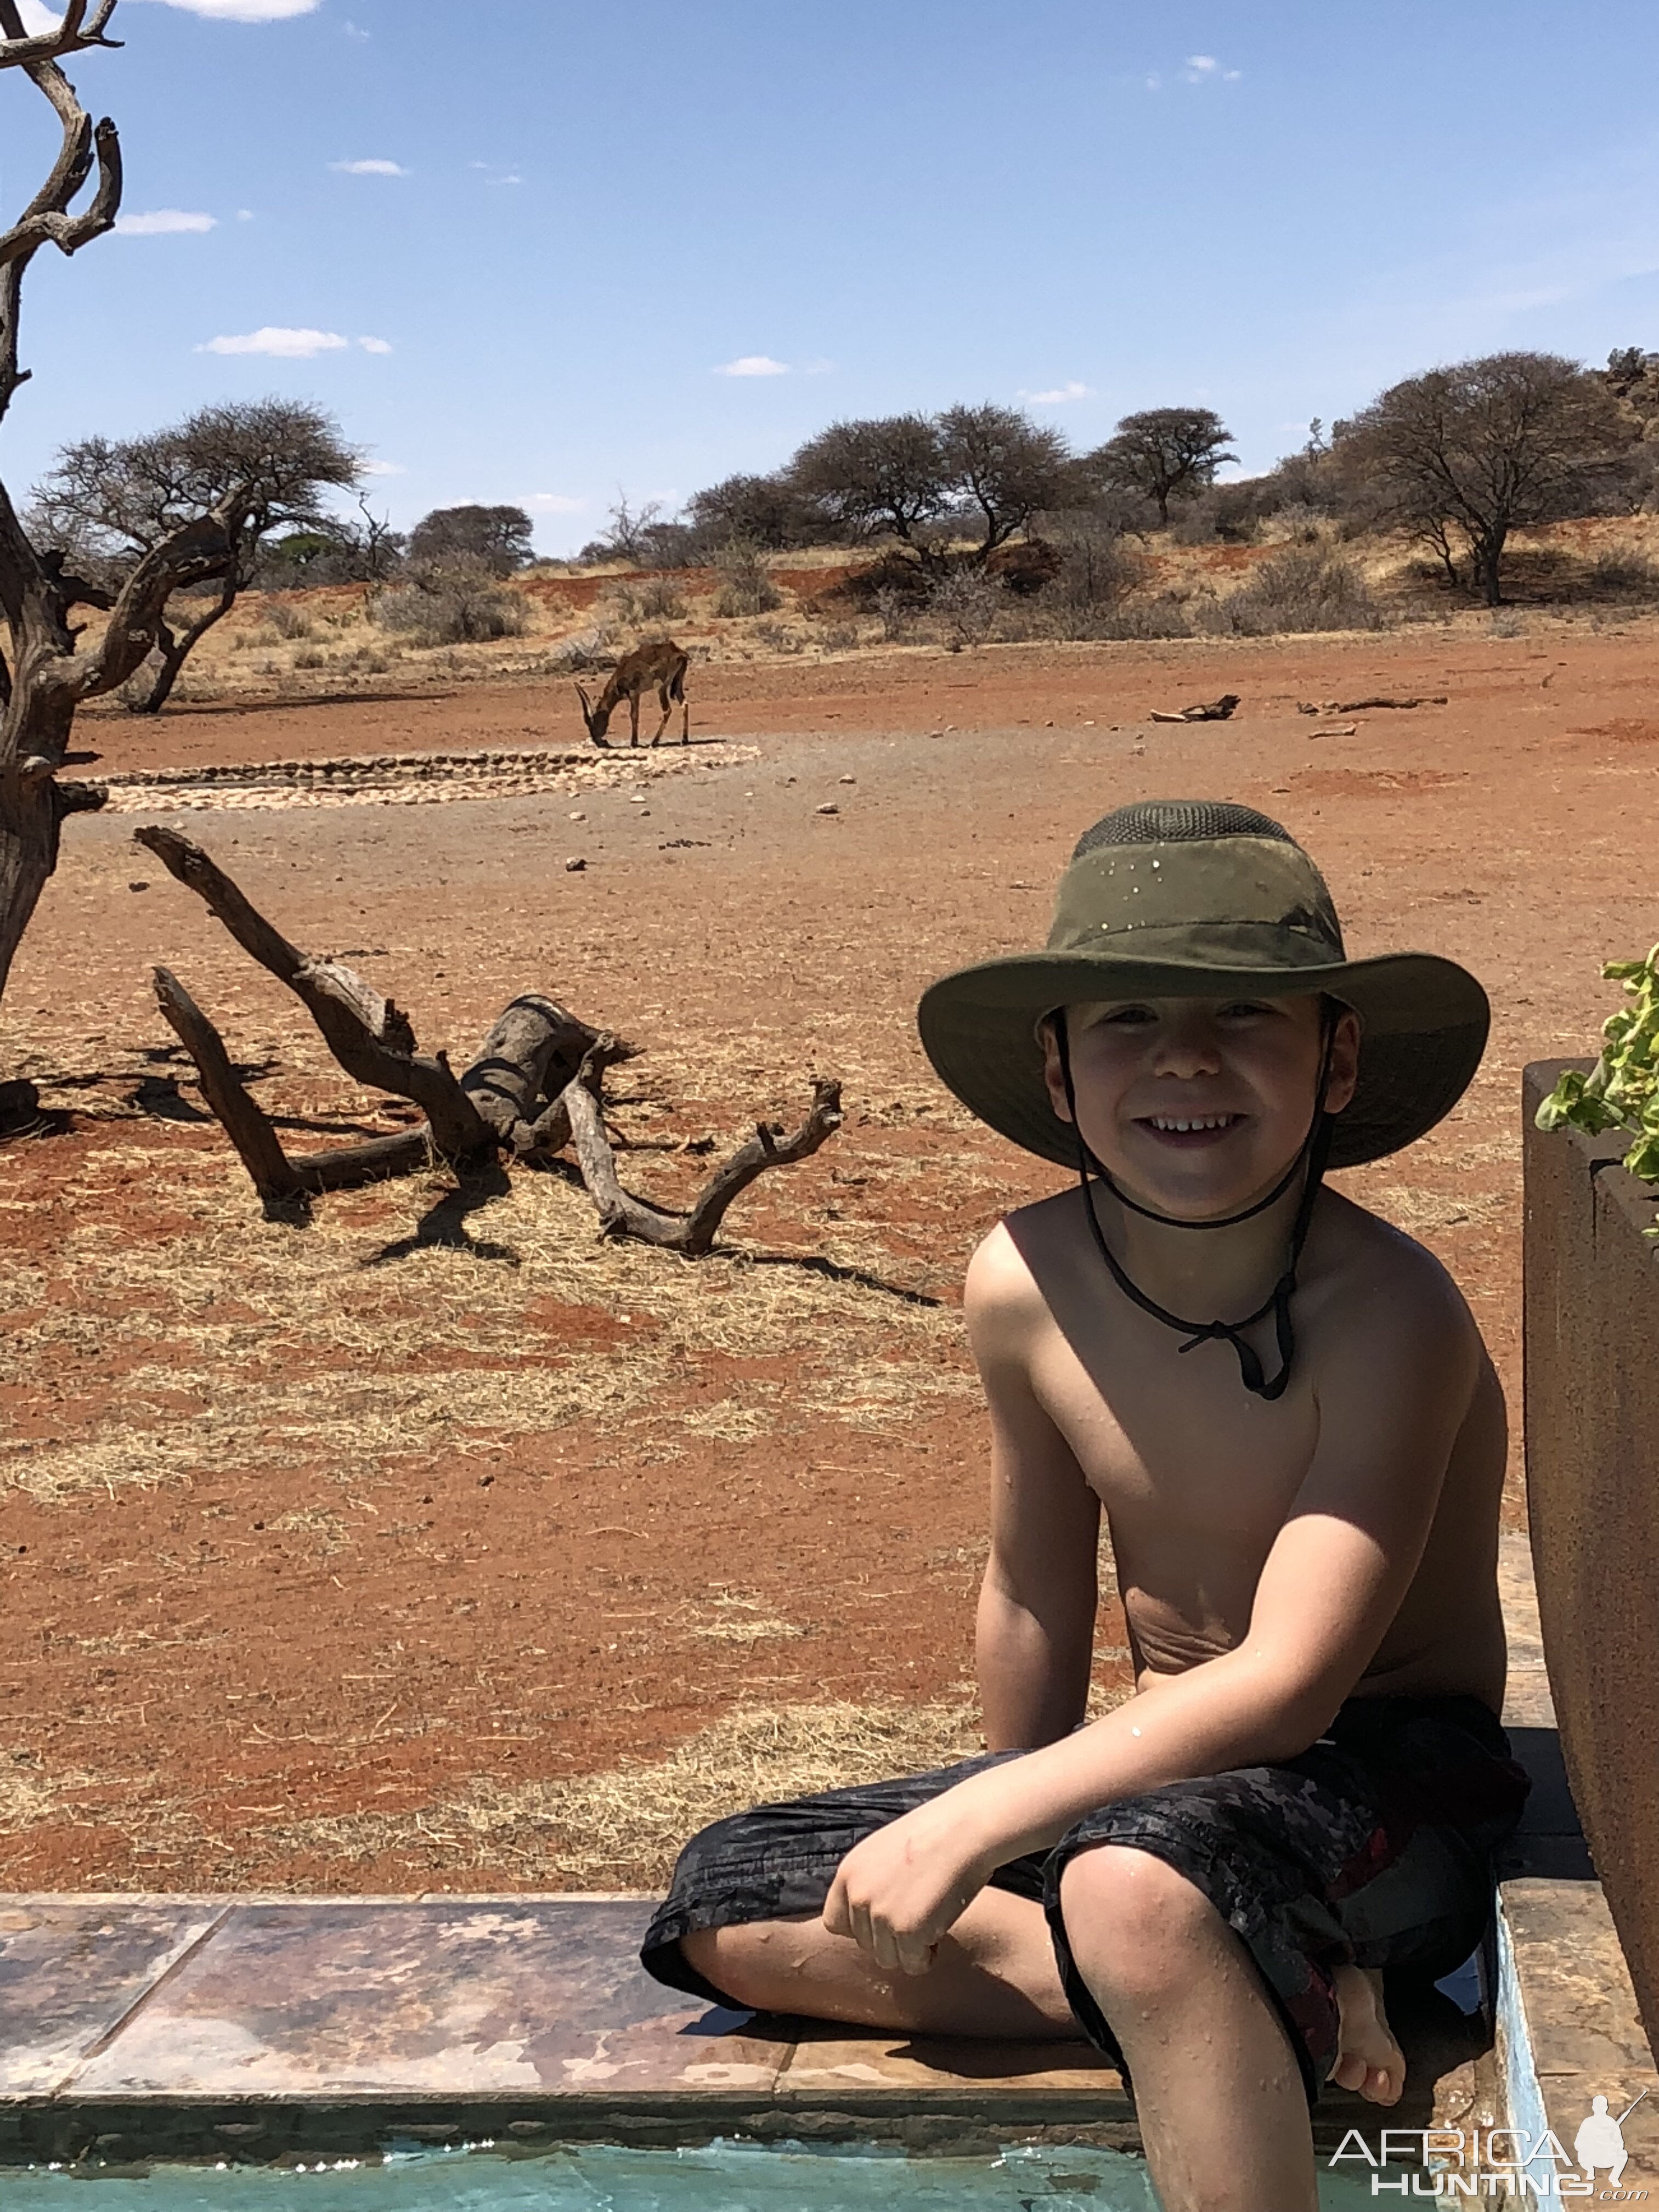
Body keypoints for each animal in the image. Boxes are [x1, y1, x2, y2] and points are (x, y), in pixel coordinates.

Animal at [579, 637, 690, 747]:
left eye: (594, 723)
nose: (598, 742)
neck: (620, 675)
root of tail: (679, 653)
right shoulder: (637, 694)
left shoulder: (633, 693)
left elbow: (634, 715)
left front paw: (633, 743)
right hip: (677, 682)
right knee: (684, 704)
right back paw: (684, 740)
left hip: (662, 687)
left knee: (667, 710)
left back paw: (654, 742)